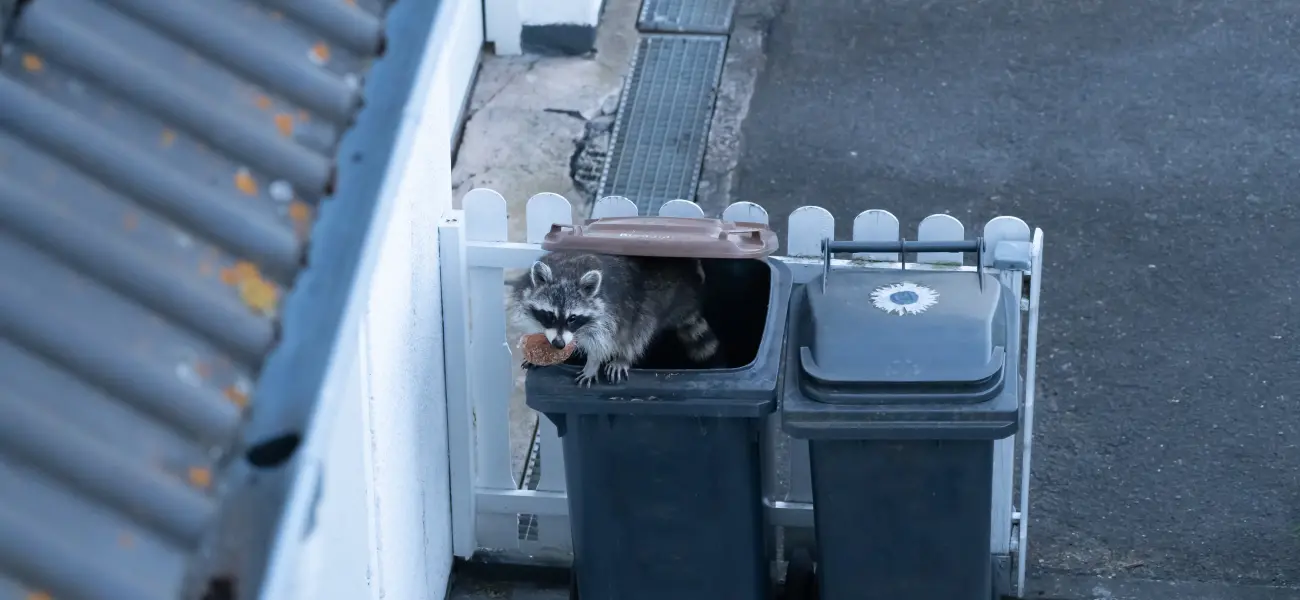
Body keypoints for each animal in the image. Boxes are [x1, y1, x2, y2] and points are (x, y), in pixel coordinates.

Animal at [508, 250, 721, 386]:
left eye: (572, 318)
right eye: (550, 315)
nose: (559, 344)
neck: (567, 273)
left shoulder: (610, 313)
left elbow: (603, 342)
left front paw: (593, 363)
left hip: (650, 301)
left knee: (639, 329)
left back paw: (624, 356)